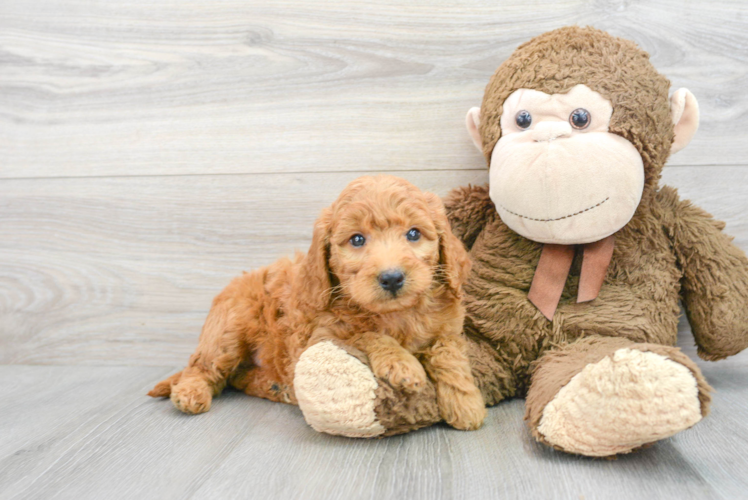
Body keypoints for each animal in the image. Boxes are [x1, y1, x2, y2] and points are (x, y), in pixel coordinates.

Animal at [149, 175, 488, 430]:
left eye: (414, 234)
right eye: (357, 240)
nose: (392, 278)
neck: (396, 315)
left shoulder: (448, 328)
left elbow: (448, 354)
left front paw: (465, 402)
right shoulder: (321, 336)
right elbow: (367, 334)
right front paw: (402, 364)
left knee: (235, 377)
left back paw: (275, 386)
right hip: (228, 330)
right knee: (203, 367)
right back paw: (190, 393)